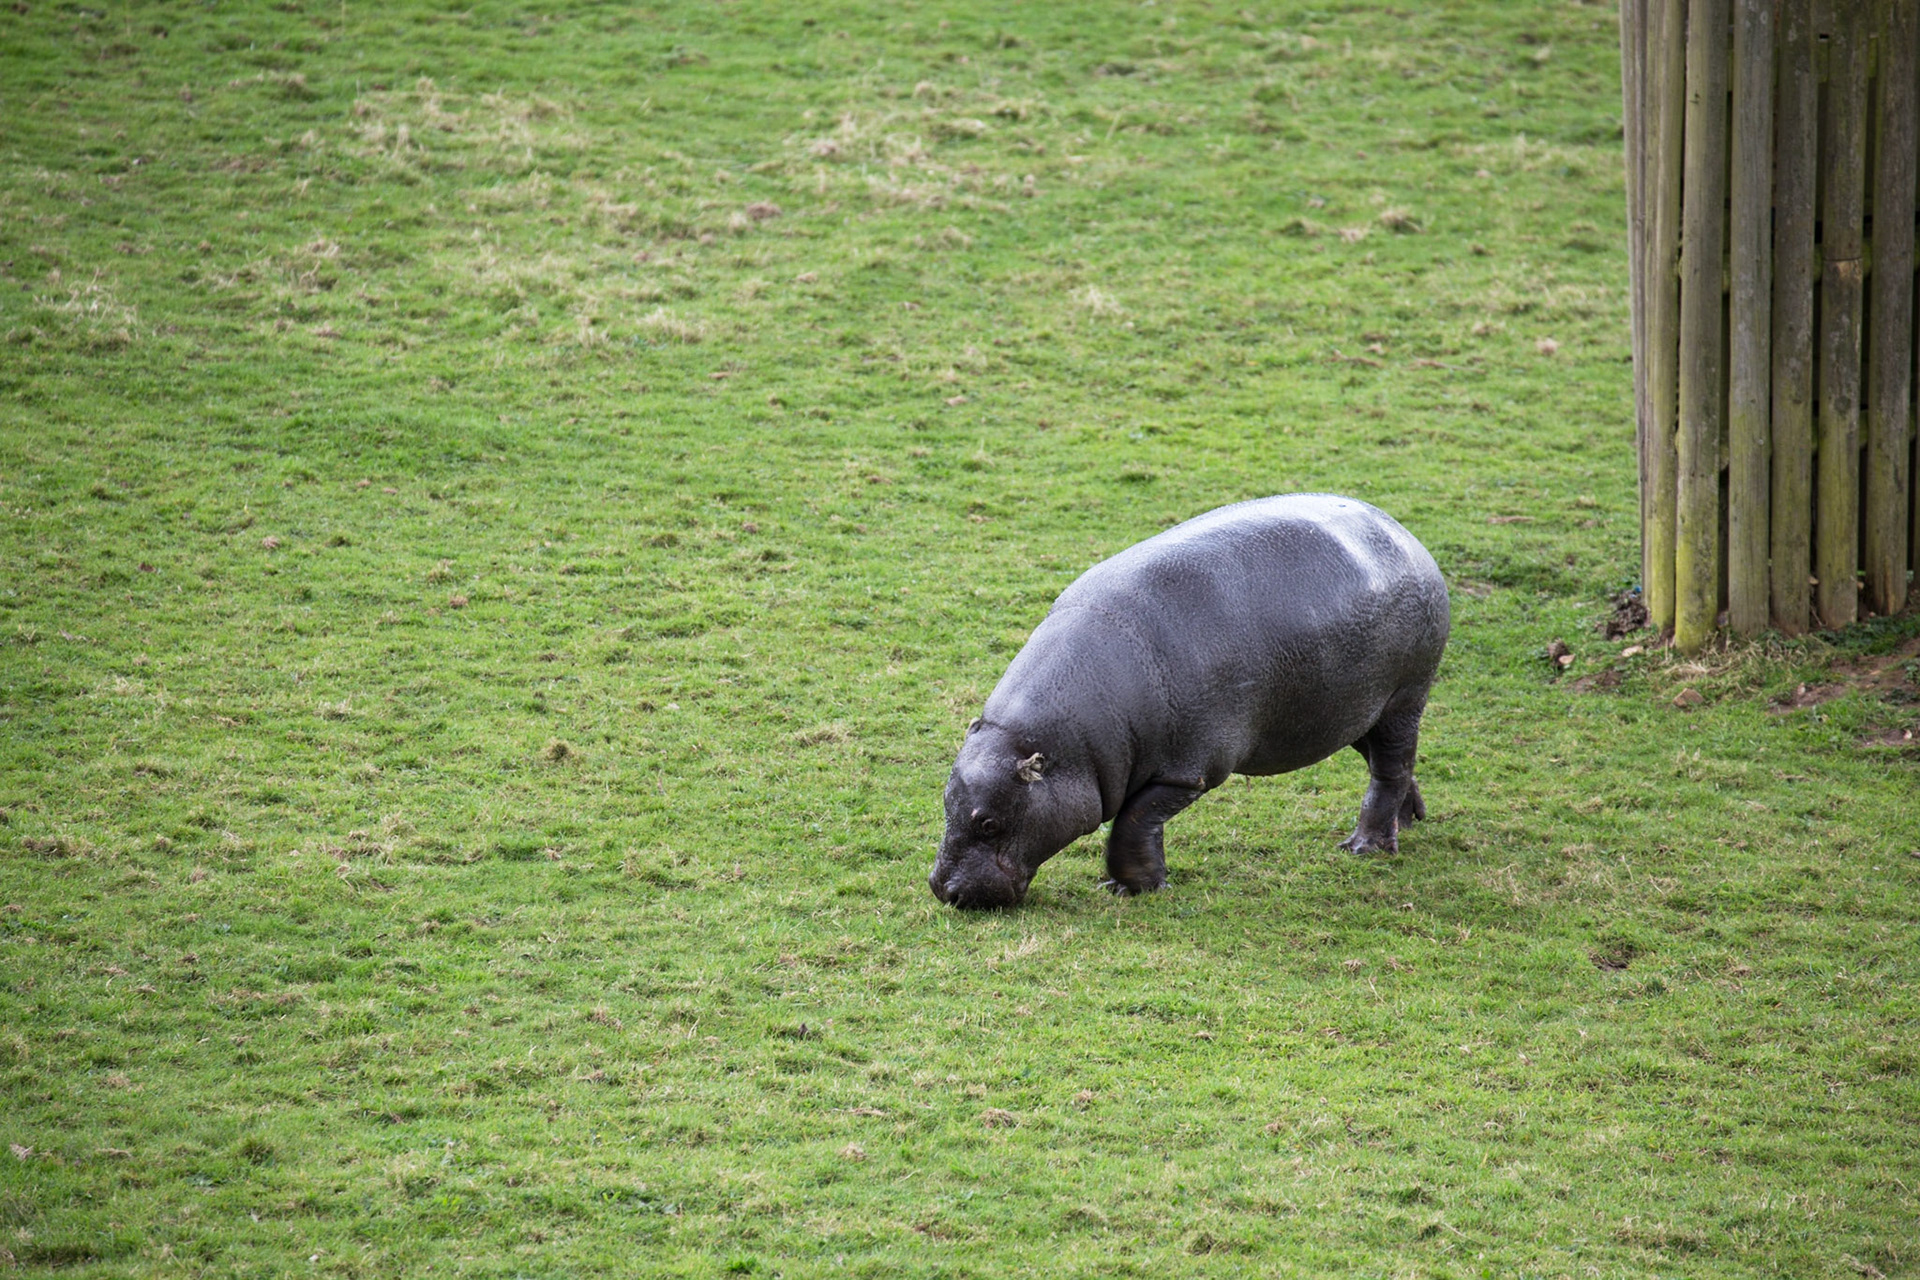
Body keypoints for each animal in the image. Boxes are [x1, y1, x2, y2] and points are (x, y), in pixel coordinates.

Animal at [928, 493, 1449, 909]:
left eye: (988, 823)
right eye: (946, 803)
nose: (942, 890)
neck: (1069, 749)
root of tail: (1404, 533)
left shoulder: (1186, 771)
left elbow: (1132, 823)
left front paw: (1135, 889)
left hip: (1403, 699)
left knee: (1391, 766)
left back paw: (1365, 847)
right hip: (1354, 713)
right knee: (1389, 763)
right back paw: (1408, 822)